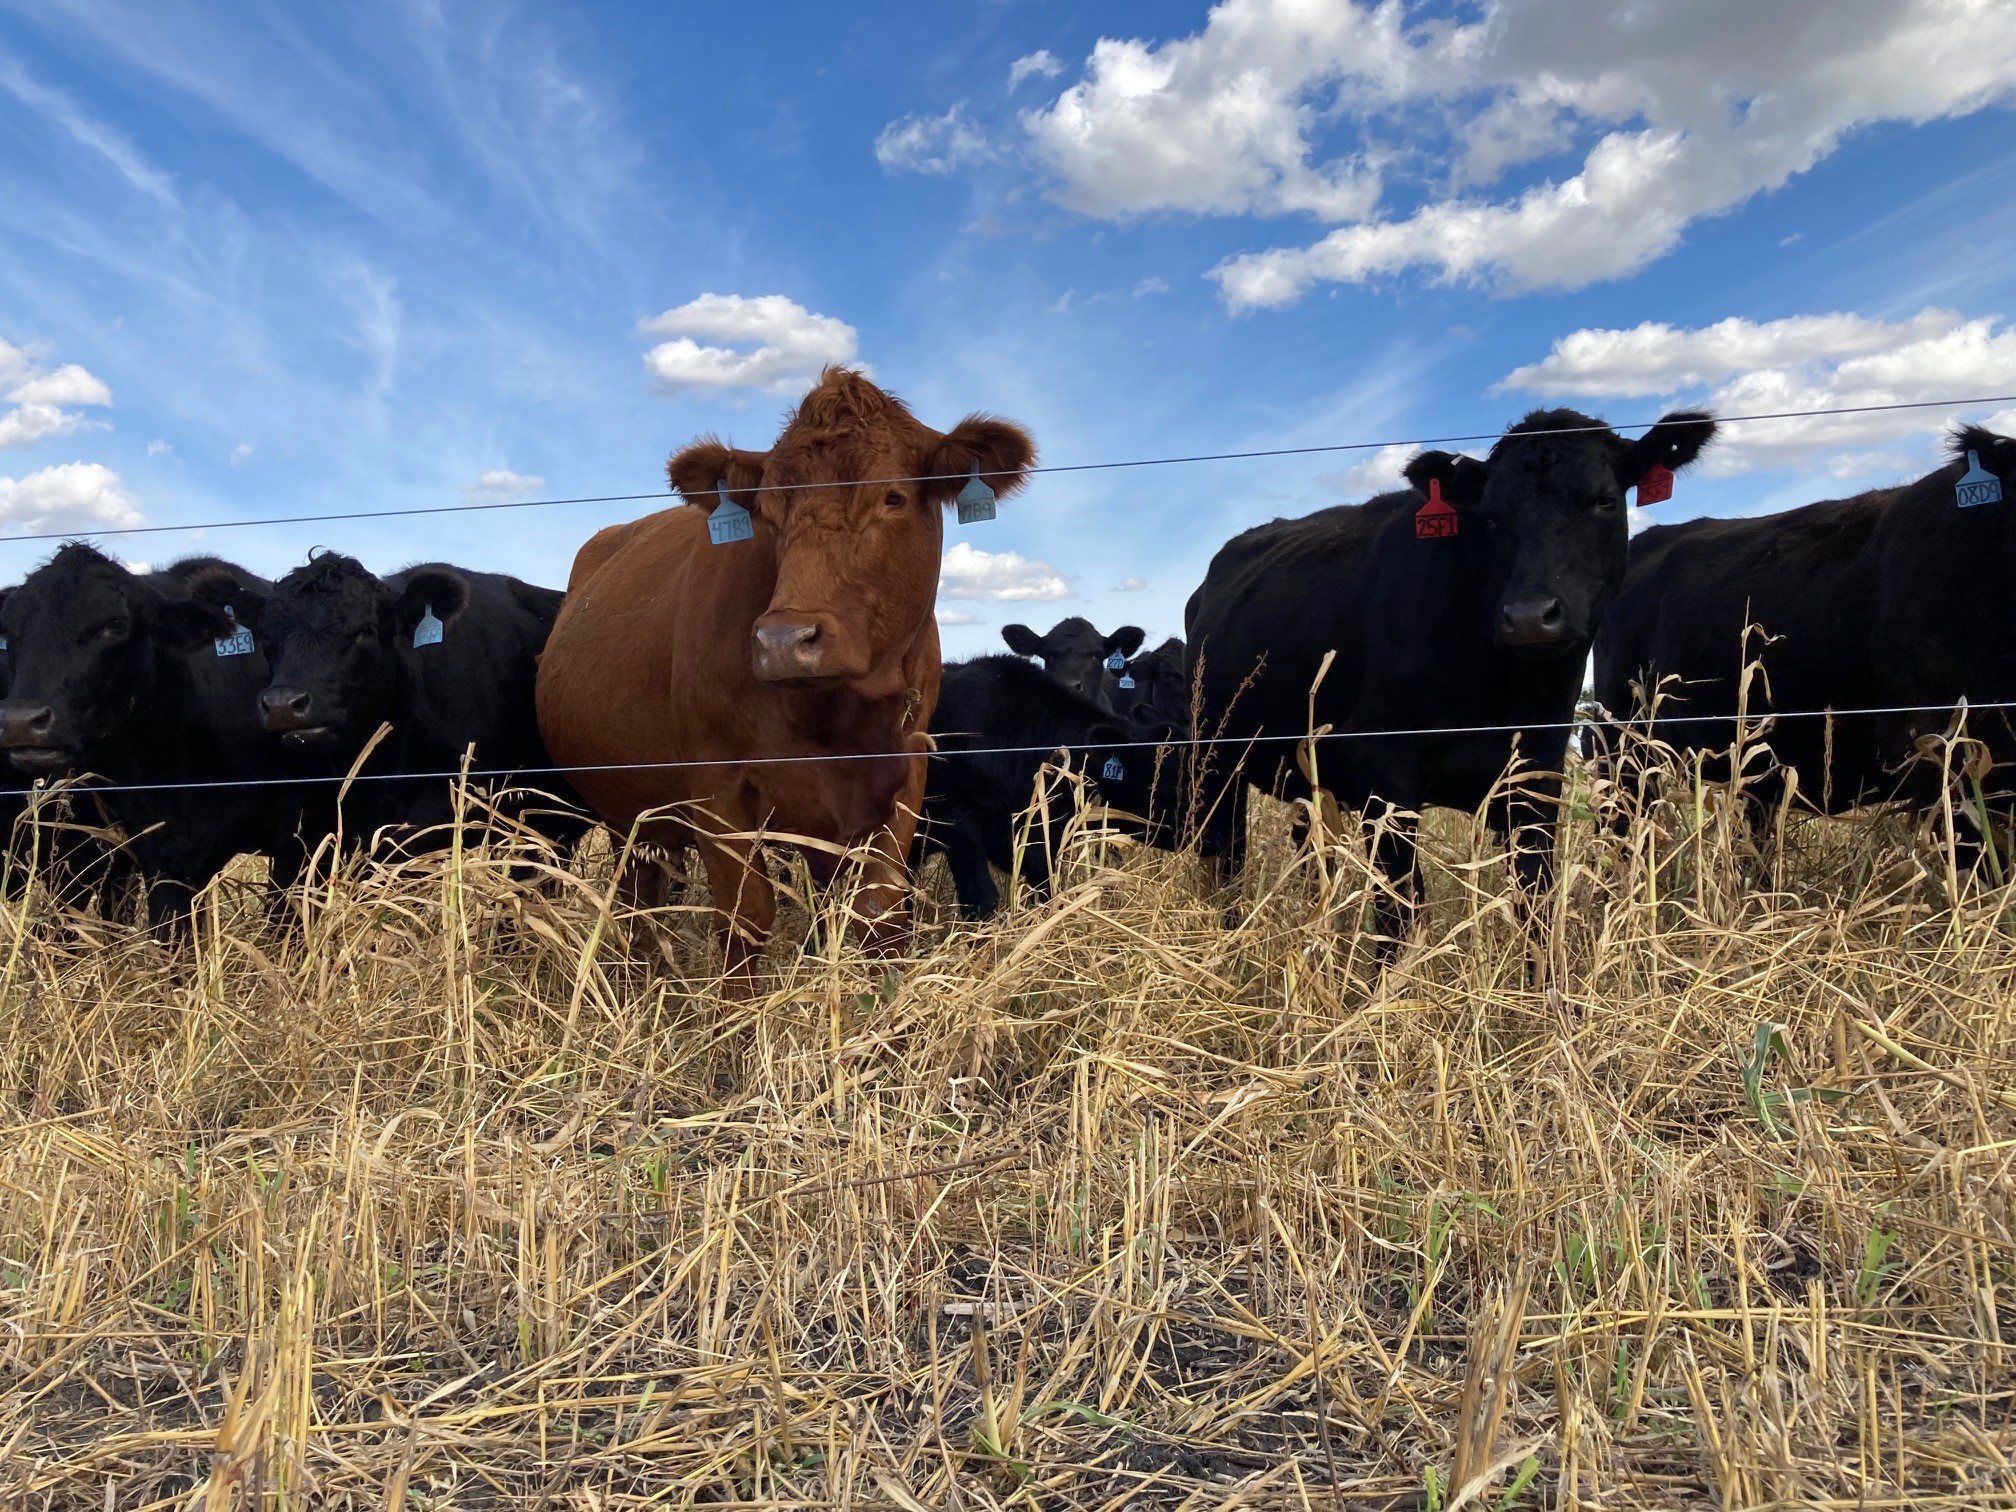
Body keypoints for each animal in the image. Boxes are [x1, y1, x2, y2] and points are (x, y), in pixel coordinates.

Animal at [535, 367, 1036, 984]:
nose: (783, 641)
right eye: (769, 512)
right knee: (636, 902)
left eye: (893, 495)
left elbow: (876, 912)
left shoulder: (902, 775)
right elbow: (745, 917)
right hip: (626, 812)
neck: (839, 716)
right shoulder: (719, 787)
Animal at [1185, 408, 1716, 941]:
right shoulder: (1383, 770)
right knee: (1225, 856)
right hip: (1215, 759)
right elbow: (1399, 910)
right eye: (1491, 516)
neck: (1505, 690)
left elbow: (1536, 906)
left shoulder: (1537, 777)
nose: (1529, 615)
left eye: (1604, 499)